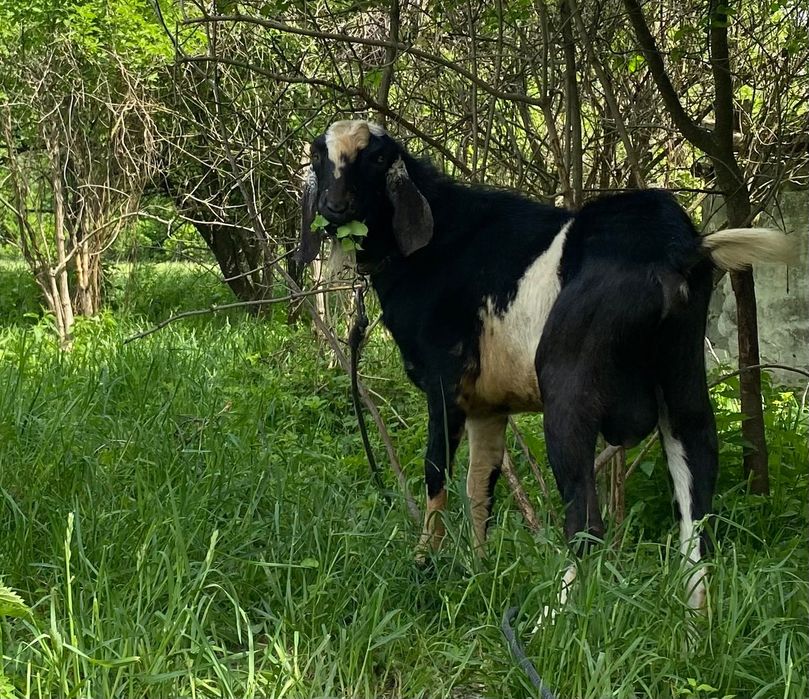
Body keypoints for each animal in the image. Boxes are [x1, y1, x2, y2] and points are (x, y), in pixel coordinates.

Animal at [297, 119, 791, 610]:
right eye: (320, 154)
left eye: (378, 158)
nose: (334, 208)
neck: (437, 244)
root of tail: (676, 250)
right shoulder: (487, 406)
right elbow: (481, 486)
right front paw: (478, 574)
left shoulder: (444, 385)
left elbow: (437, 474)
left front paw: (424, 566)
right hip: (682, 381)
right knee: (696, 516)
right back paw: (694, 621)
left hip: (567, 390)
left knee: (587, 522)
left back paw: (551, 616)